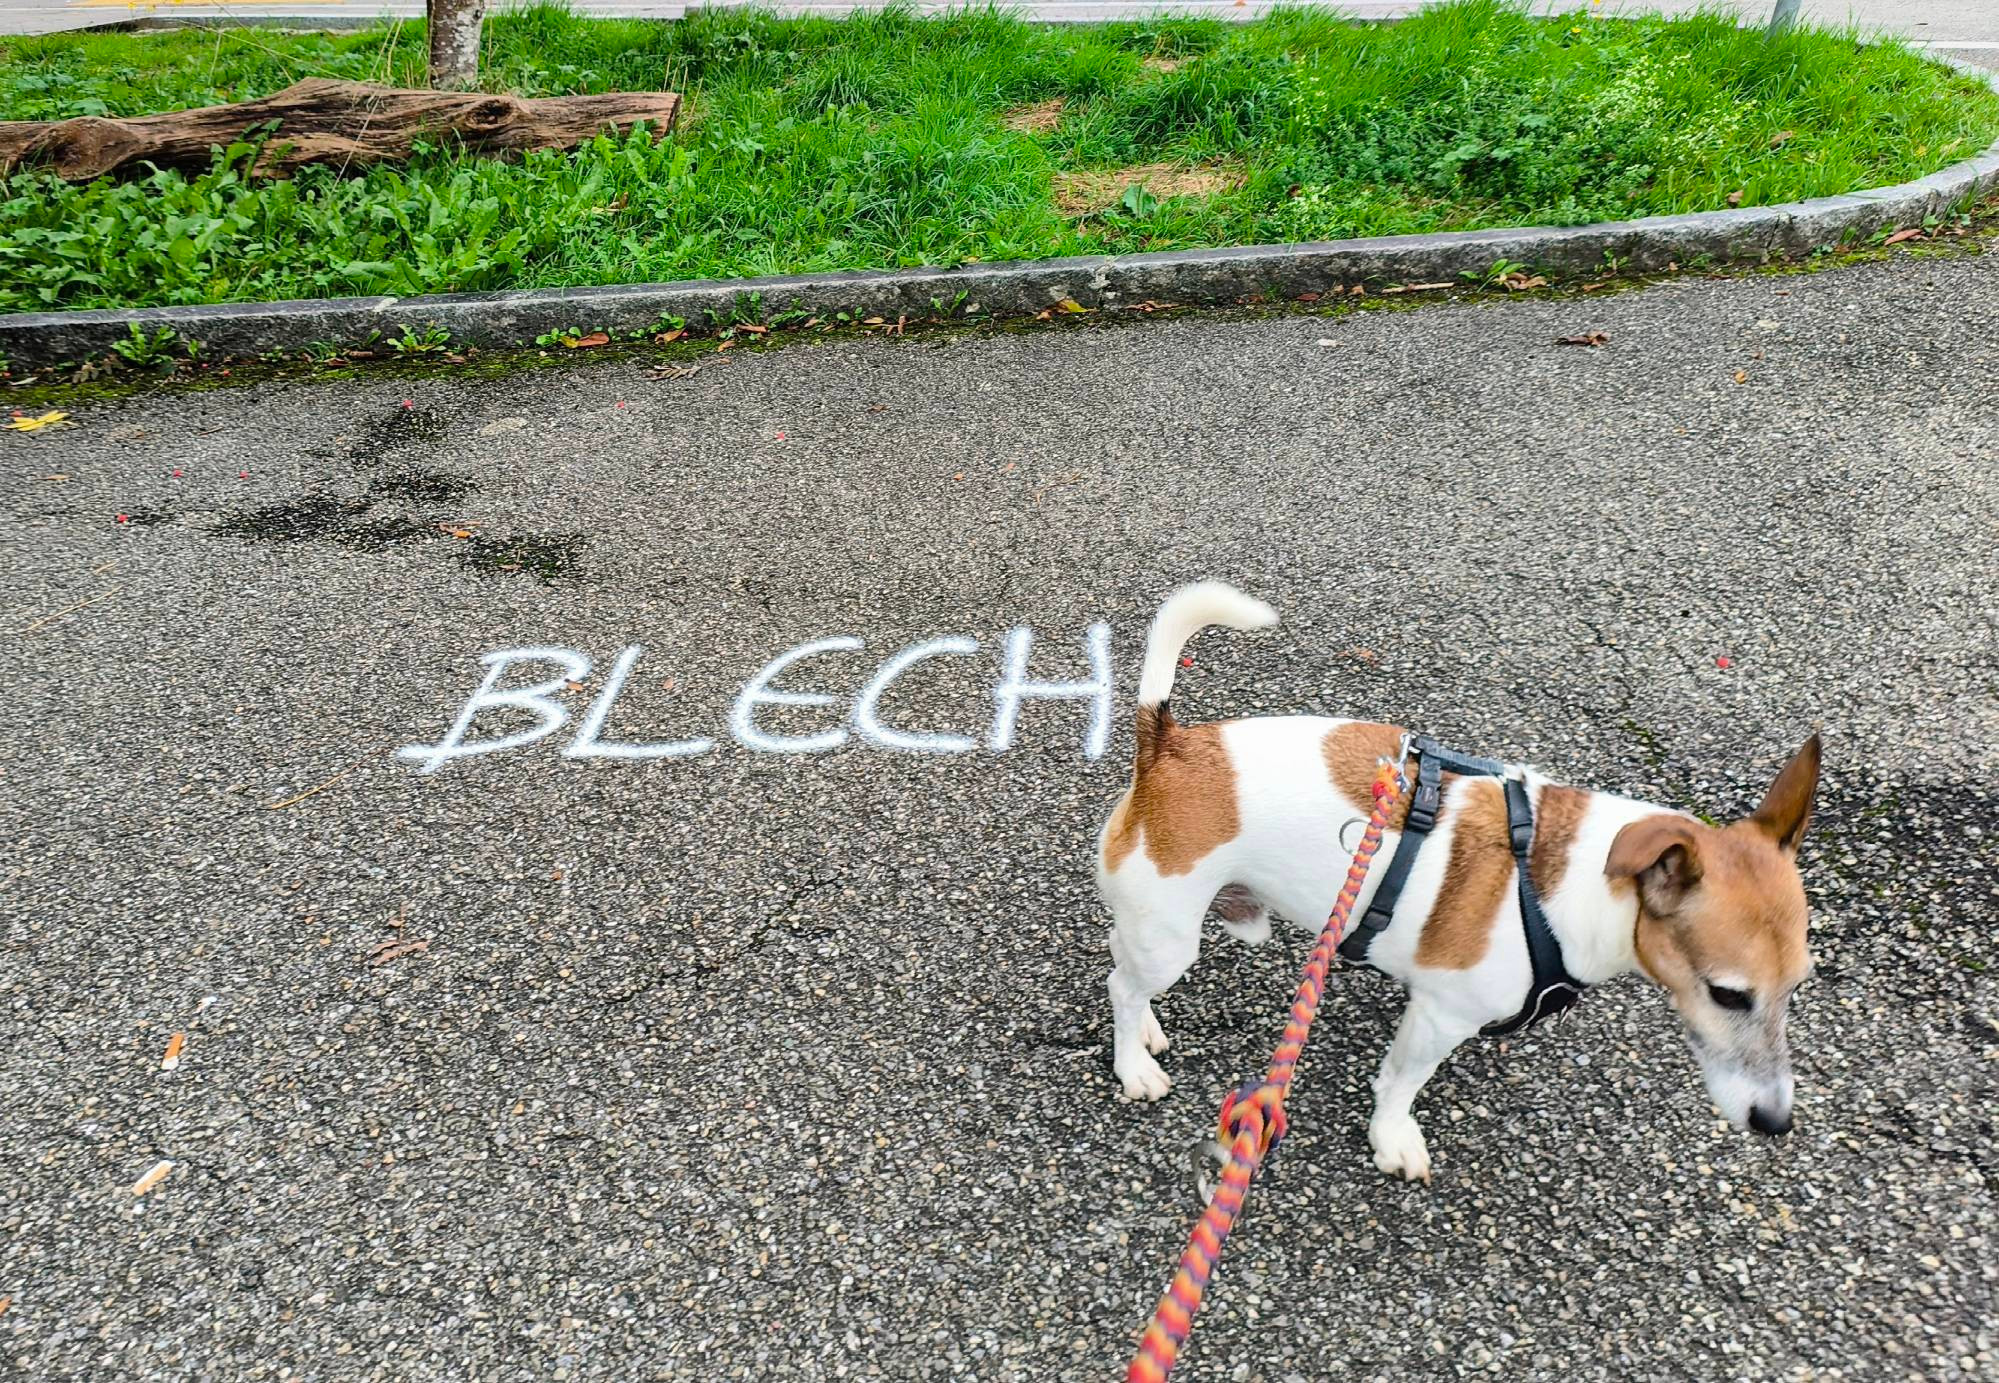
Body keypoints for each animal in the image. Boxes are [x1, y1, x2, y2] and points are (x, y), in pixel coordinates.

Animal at [1103, 579, 1823, 1175]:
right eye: (1728, 994)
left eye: (1796, 986)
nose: (1776, 1122)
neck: (1573, 885)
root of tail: (1170, 742)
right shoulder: (1439, 1016)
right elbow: (1400, 1084)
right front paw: (1392, 1139)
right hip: (1172, 935)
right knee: (1120, 984)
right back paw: (1133, 1062)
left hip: (1157, 922)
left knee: (1123, 963)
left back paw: (1146, 1029)